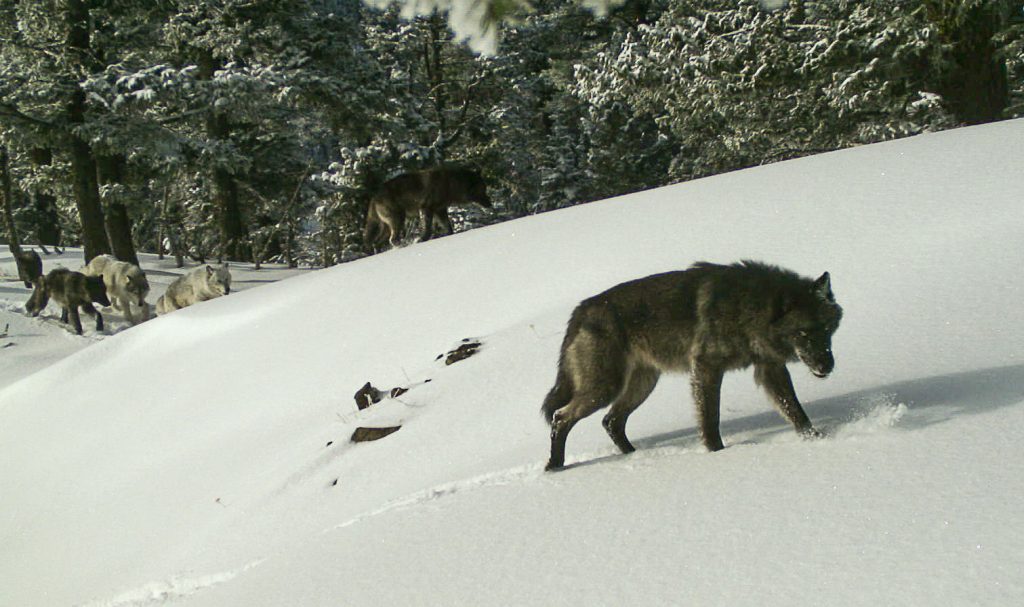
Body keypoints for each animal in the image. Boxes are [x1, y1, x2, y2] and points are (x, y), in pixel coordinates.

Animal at [540, 258, 843, 468]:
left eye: (827, 330)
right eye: (802, 333)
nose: (826, 366)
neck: (748, 307)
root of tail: (581, 309)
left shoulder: (770, 369)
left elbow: (796, 411)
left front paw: (816, 439)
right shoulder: (706, 368)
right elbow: (710, 419)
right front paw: (717, 454)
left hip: (641, 385)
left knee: (611, 421)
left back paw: (634, 456)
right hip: (605, 388)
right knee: (561, 418)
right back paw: (554, 467)